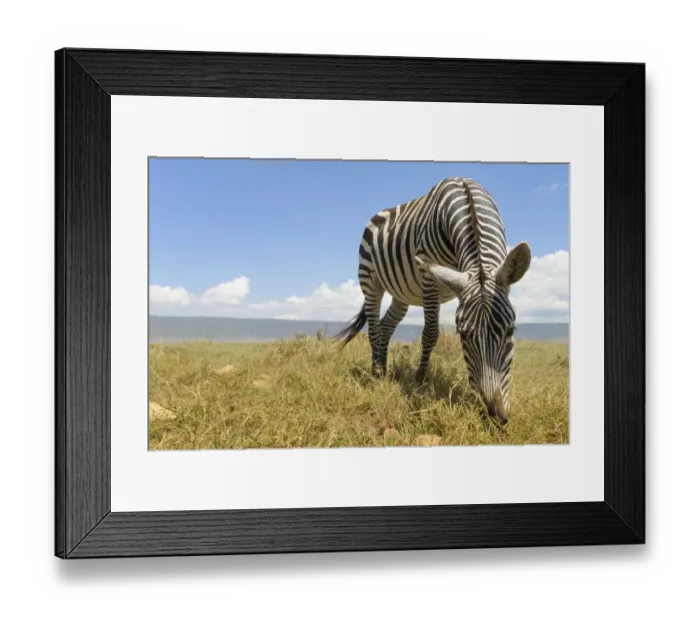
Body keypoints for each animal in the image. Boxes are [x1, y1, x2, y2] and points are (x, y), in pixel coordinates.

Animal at [335, 177, 531, 425]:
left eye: (510, 330)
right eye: (463, 335)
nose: (497, 416)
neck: (468, 201)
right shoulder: (429, 275)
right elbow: (430, 333)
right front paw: (419, 382)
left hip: (401, 293)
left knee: (386, 326)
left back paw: (384, 371)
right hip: (369, 279)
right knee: (373, 329)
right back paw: (376, 374)